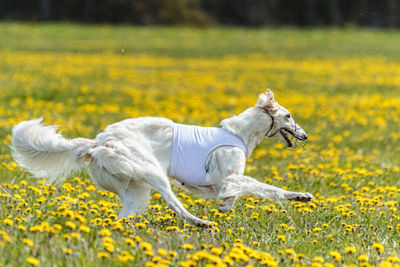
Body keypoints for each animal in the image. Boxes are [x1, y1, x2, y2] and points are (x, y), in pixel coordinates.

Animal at [10, 90, 314, 228]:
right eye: (288, 116)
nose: (306, 135)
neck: (238, 133)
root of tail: (97, 142)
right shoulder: (227, 180)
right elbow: (265, 188)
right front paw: (300, 196)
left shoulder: (222, 185)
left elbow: (235, 195)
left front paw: (226, 206)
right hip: (152, 172)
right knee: (176, 205)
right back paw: (201, 223)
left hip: (135, 192)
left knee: (122, 218)